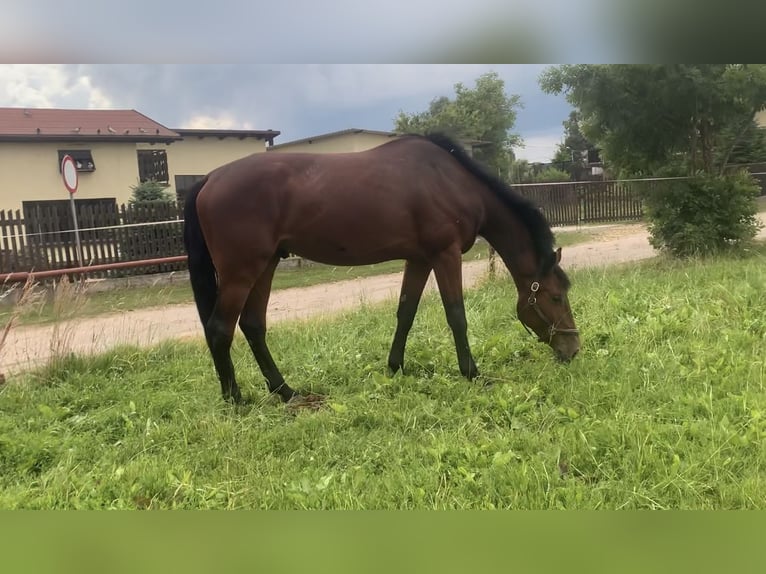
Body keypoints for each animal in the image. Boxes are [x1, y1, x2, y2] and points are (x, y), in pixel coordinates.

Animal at [183, 133, 580, 408]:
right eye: (555, 296)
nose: (573, 349)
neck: (450, 181)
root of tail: (210, 178)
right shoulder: (445, 255)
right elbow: (456, 315)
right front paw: (472, 373)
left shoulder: (420, 259)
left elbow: (406, 312)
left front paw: (395, 368)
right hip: (241, 272)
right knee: (220, 329)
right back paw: (236, 400)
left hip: (265, 265)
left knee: (253, 325)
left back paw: (286, 392)